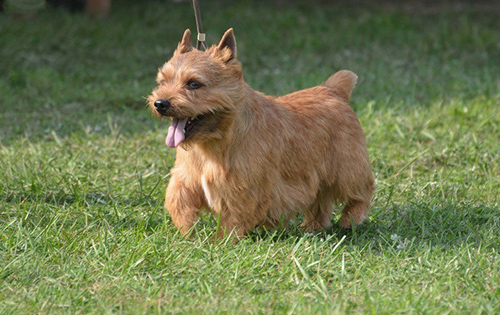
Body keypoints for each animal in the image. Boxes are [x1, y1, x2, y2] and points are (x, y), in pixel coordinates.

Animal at [146, 29, 374, 241]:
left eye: (193, 83)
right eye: (162, 81)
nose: (160, 103)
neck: (211, 143)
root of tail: (333, 90)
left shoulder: (240, 188)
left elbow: (233, 216)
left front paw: (221, 242)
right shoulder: (186, 178)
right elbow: (177, 200)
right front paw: (188, 232)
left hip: (348, 168)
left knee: (363, 191)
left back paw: (350, 219)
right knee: (320, 204)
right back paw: (312, 229)